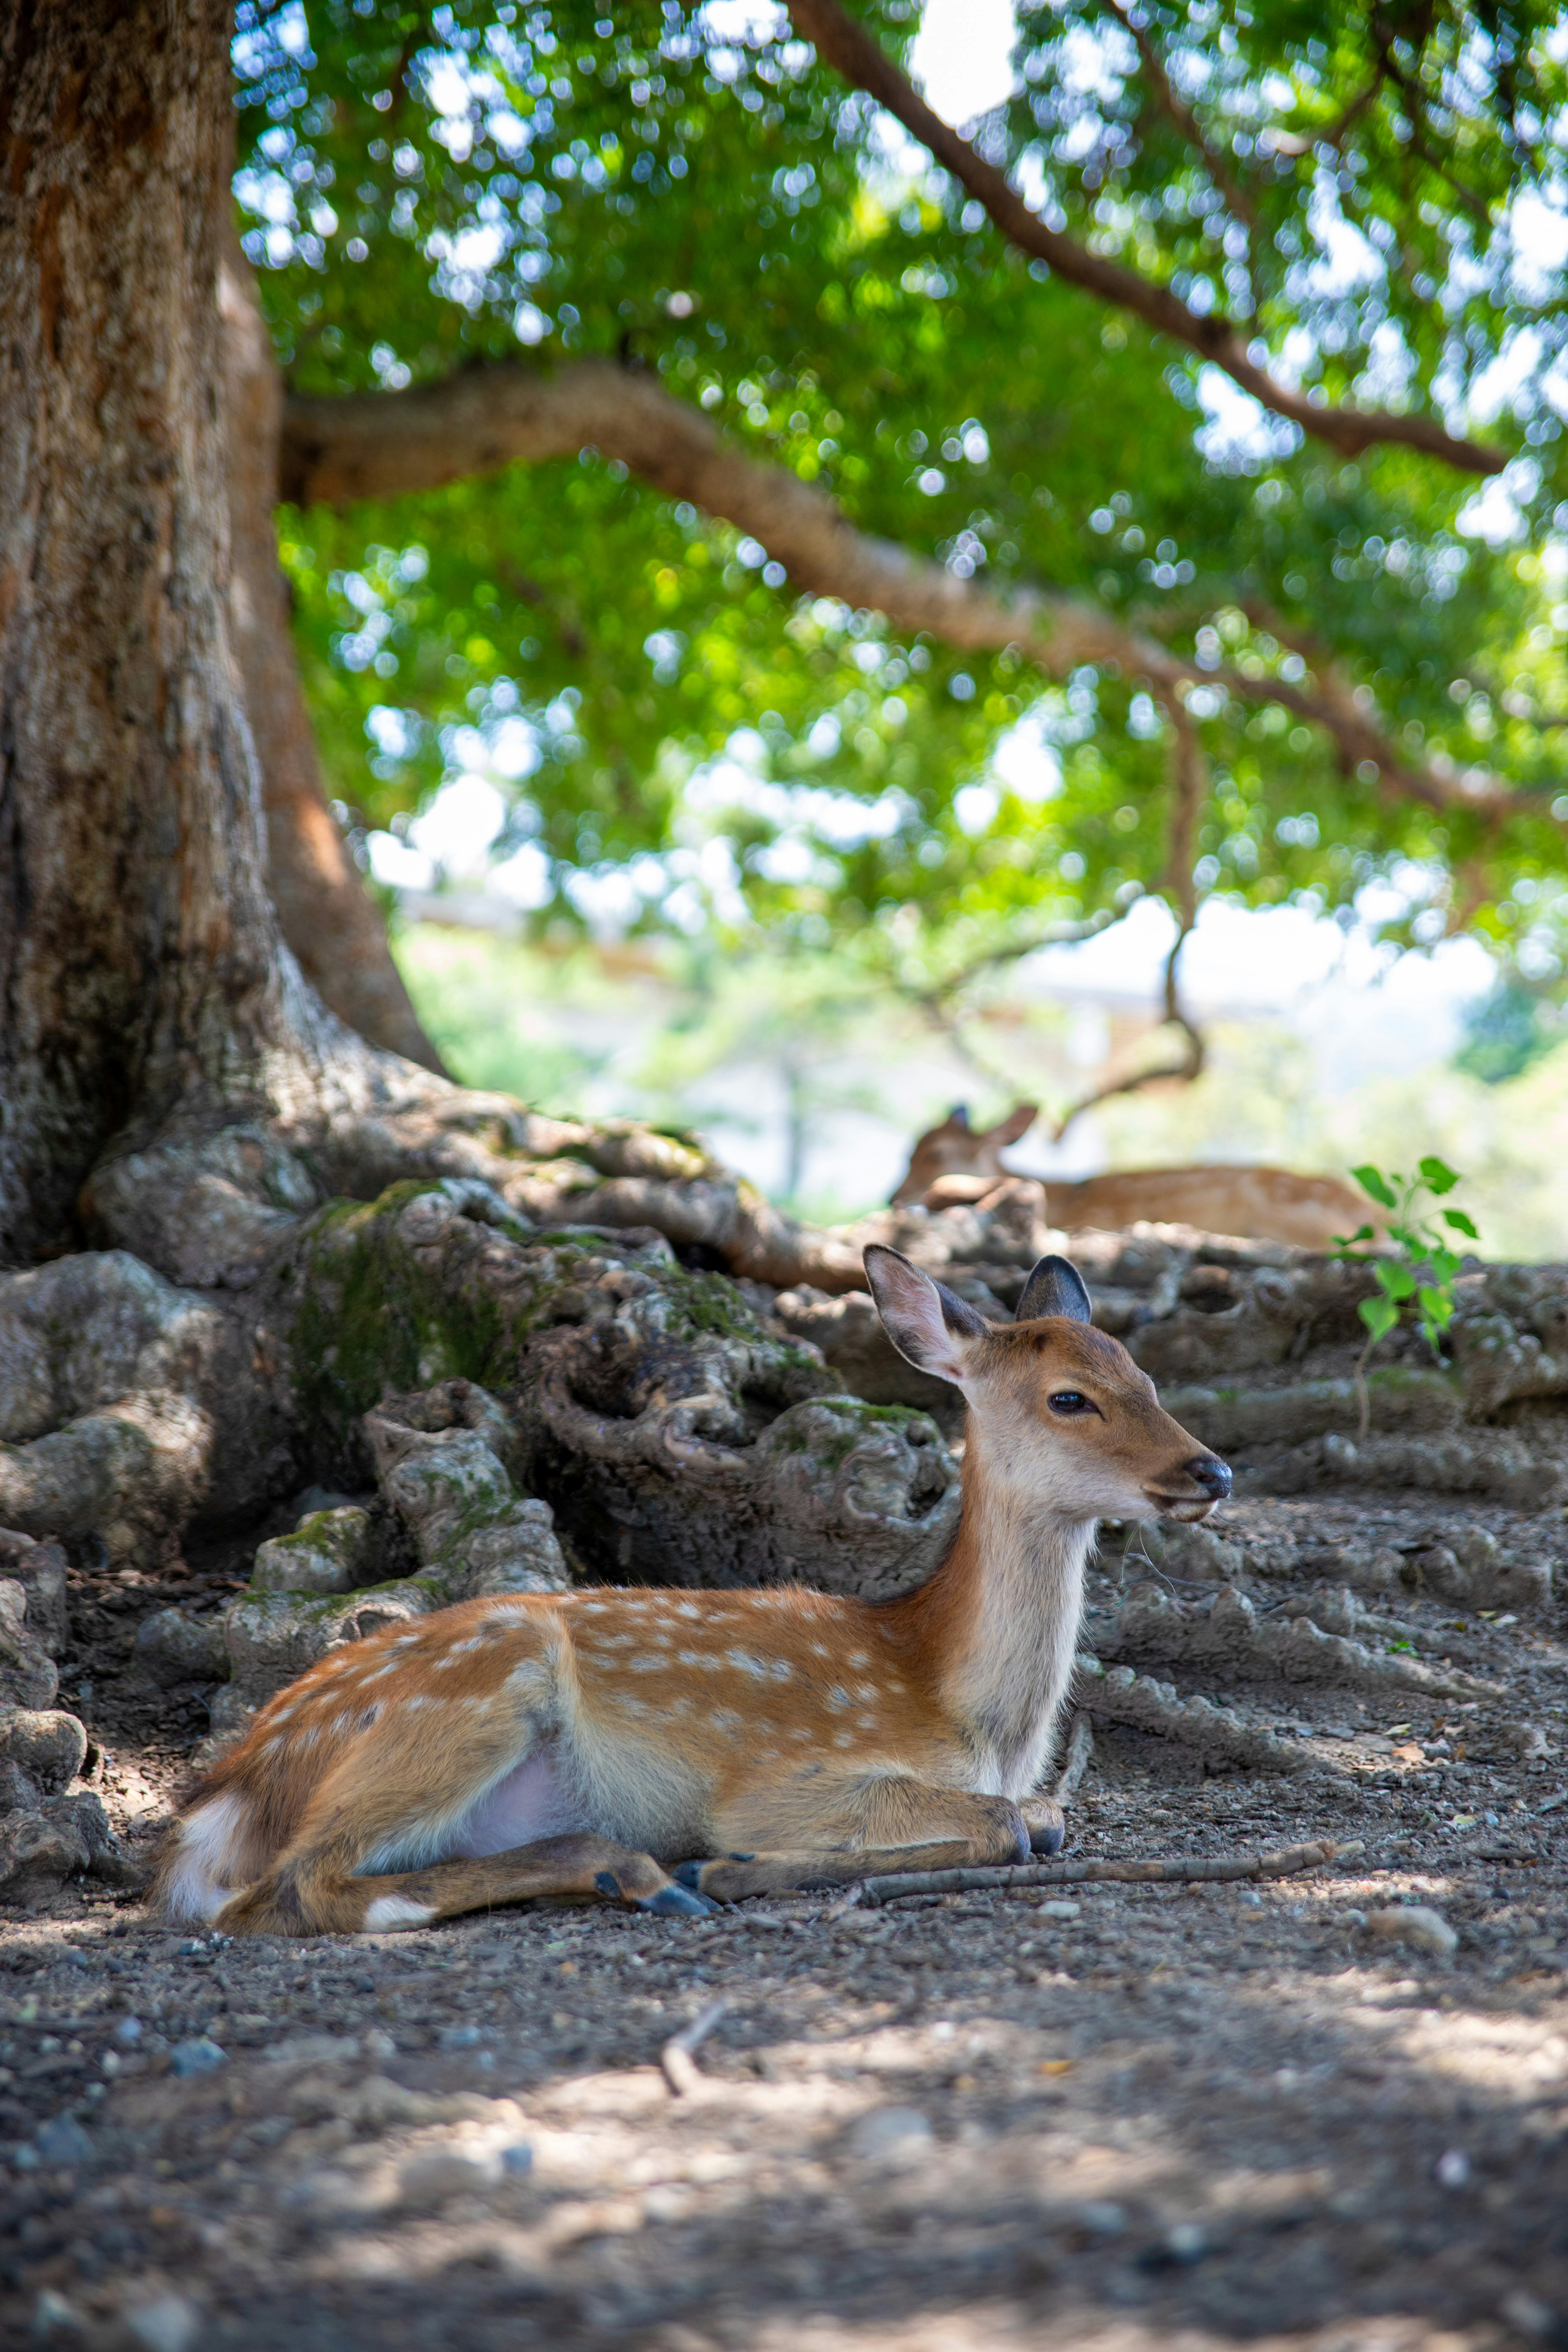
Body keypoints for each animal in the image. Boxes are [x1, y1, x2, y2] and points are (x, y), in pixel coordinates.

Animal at [154, 1248, 1230, 1936]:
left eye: (1146, 1377)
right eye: (1069, 1398)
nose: (1212, 1470)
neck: (961, 1708)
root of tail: (224, 1797)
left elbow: (1040, 1817)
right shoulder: (785, 1776)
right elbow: (1014, 1826)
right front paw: (734, 1862)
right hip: (475, 1683)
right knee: (293, 1890)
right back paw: (652, 1875)